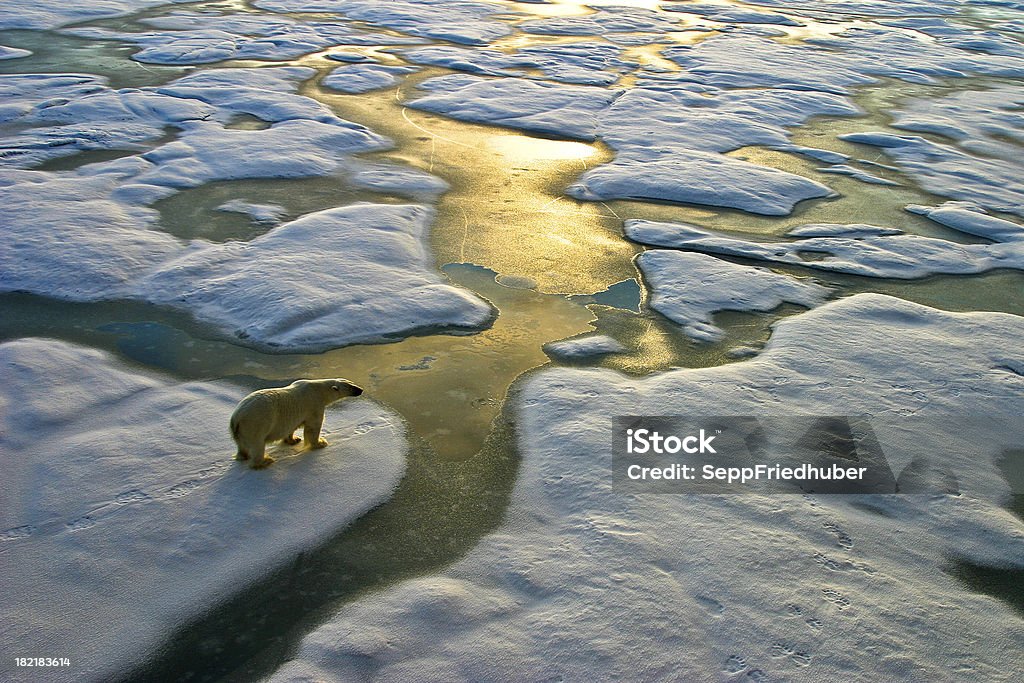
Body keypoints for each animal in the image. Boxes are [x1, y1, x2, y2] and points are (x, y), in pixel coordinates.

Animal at [232, 378, 364, 471]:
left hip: (240, 431)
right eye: (350, 387)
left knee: (241, 445)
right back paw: (265, 461)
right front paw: (320, 443)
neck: (318, 390)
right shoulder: (314, 405)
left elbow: (292, 427)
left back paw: (243, 456)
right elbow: (313, 427)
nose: (361, 389)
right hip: (256, 424)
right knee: (257, 445)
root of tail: (236, 418)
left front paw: (294, 440)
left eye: (352, 382)